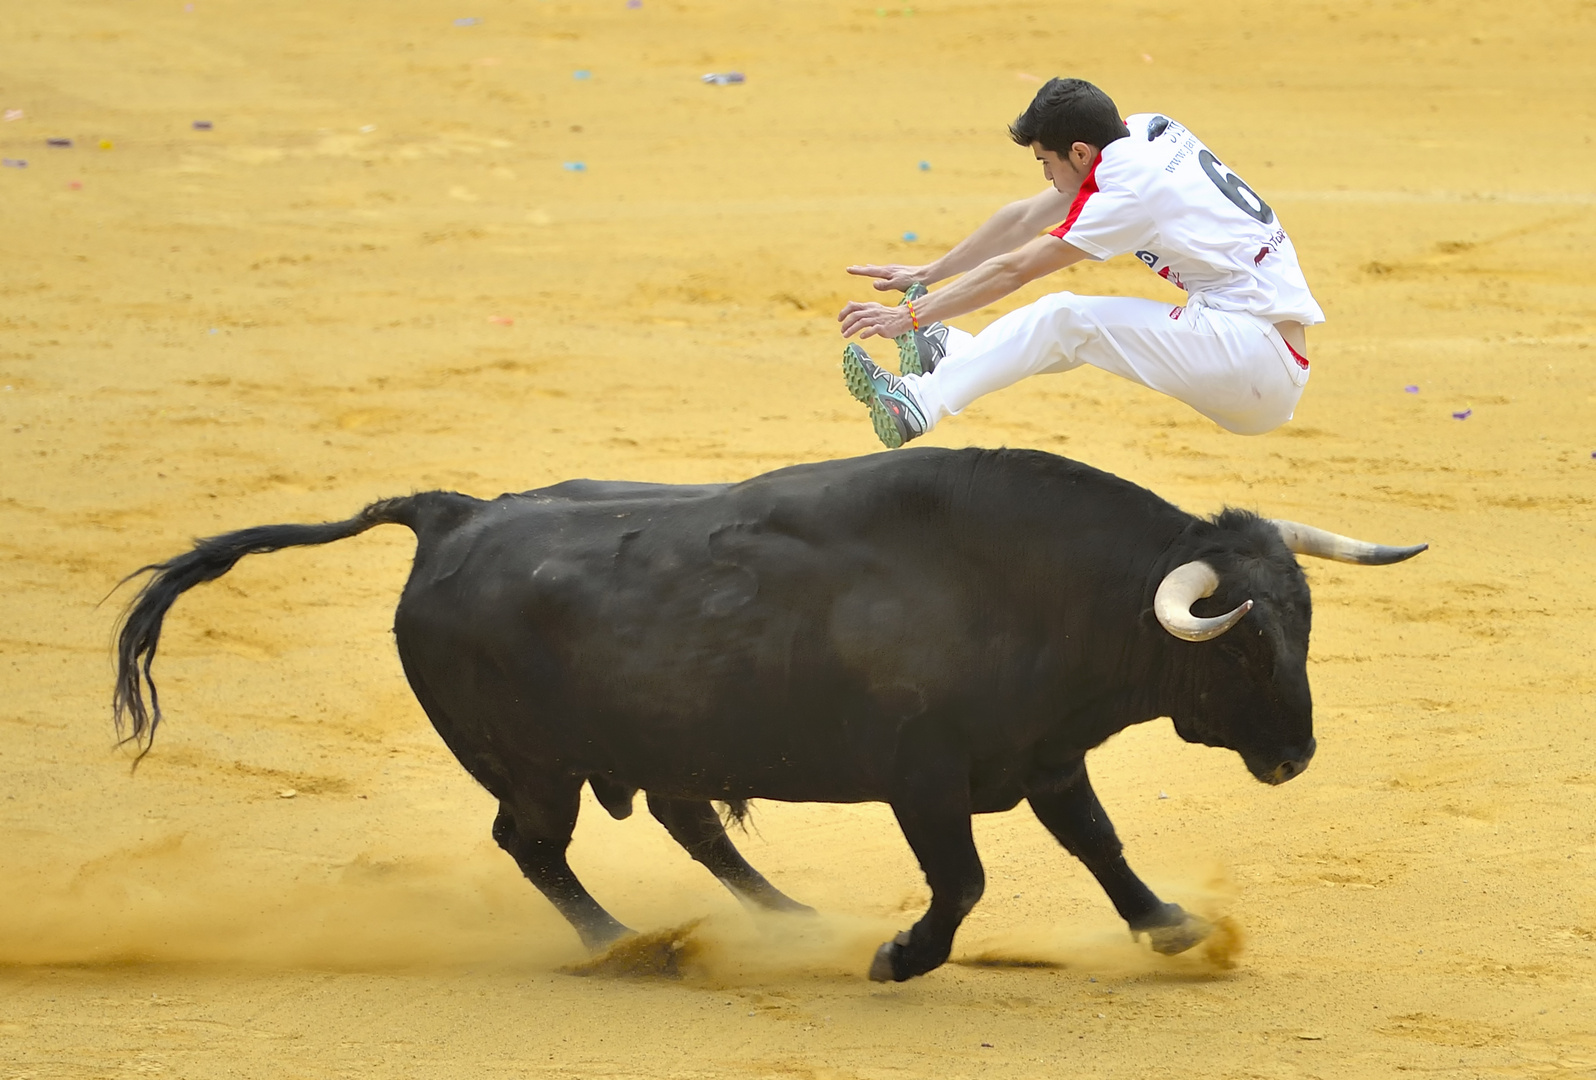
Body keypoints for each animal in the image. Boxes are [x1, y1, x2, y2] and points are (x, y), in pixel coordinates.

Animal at [118, 446, 1430, 976]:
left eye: (1306, 620)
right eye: (1245, 642)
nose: (1295, 757)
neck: (1044, 587)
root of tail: (451, 516)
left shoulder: (1047, 759)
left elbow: (1100, 848)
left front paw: (1171, 928)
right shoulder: (923, 778)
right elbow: (964, 882)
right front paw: (902, 957)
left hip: (655, 742)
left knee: (688, 823)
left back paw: (791, 919)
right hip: (531, 763)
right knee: (534, 845)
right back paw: (628, 946)